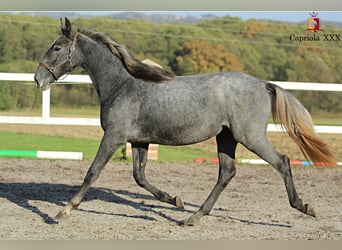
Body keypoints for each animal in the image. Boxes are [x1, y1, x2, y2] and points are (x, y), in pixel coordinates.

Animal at [32, 17, 334, 225]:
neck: (122, 85)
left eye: (56, 47)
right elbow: (140, 177)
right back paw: (193, 216)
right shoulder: (138, 141)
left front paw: (63, 211)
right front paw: (174, 201)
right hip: (226, 137)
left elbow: (92, 172)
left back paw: (305, 207)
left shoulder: (114, 137)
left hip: (250, 137)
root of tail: (263, 84)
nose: (38, 79)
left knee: (281, 162)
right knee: (227, 173)